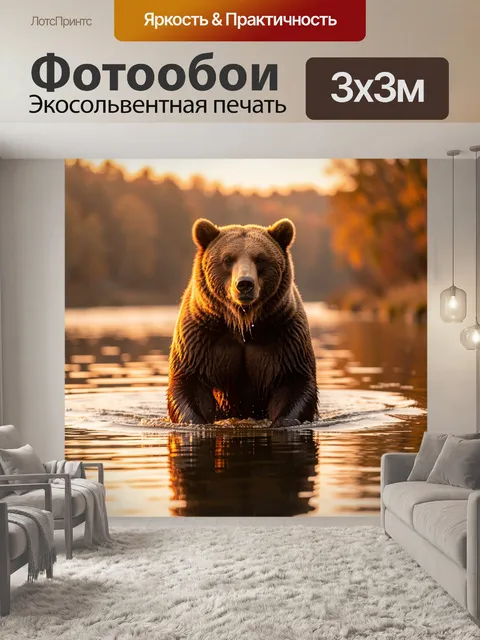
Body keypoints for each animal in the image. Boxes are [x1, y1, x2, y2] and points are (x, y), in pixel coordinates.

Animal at [167, 218, 318, 428]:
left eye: (260, 258)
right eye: (227, 259)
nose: (245, 283)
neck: (242, 322)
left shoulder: (283, 334)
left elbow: (293, 381)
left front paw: (282, 421)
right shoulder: (201, 336)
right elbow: (190, 382)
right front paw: (196, 422)